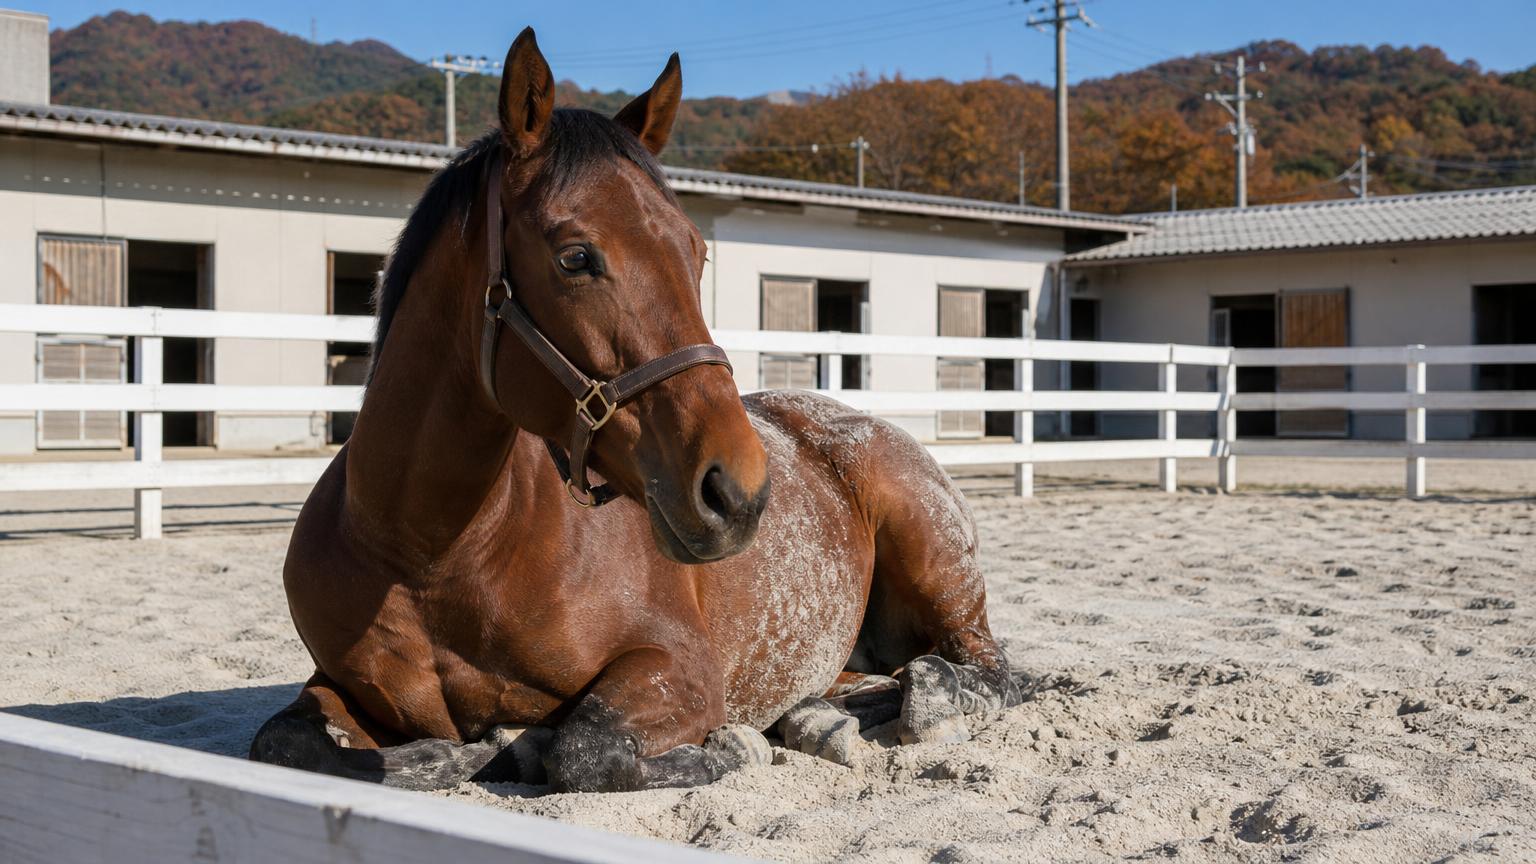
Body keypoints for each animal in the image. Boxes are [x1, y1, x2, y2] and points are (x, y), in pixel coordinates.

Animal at [249, 27, 1019, 793]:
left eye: (696, 251)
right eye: (575, 257)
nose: (737, 492)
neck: (429, 556)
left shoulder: (681, 669)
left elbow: (582, 748)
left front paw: (727, 749)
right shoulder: (334, 684)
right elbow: (289, 742)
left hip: (937, 569)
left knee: (979, 671)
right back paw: (820, 717)